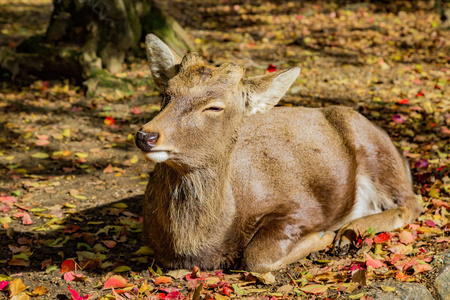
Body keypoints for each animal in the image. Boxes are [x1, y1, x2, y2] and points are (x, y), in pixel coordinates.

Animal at [135, 34, 424, 274]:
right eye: (166, 93)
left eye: (214, 107)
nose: (145, 136)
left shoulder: (303, 206)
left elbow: (255, 257)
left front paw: (323, 236)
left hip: (375, 150)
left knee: (412, 202)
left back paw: (348, 232)